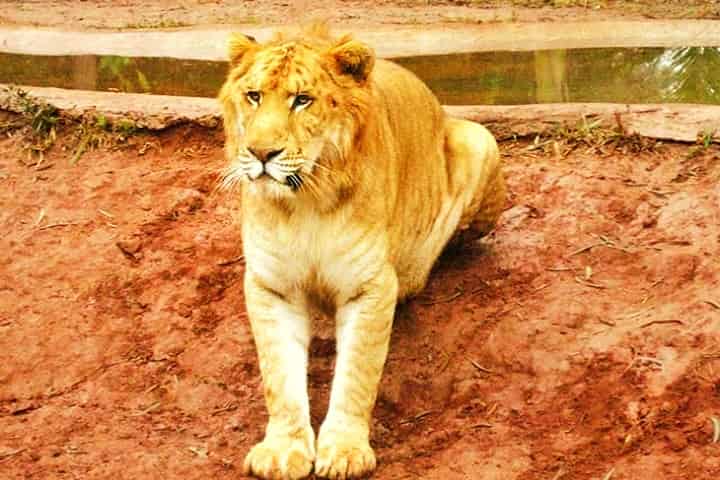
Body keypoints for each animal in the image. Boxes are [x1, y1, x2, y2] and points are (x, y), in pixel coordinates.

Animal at [217, 25, 504, 480]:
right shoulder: (271, 286)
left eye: (302, 99)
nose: (261, 154)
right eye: (254, 96)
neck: (305, 203)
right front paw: (283, 449)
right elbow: (278, 375)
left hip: (480, 138)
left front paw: (345, 451)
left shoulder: (370, 286)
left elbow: (357, 372)